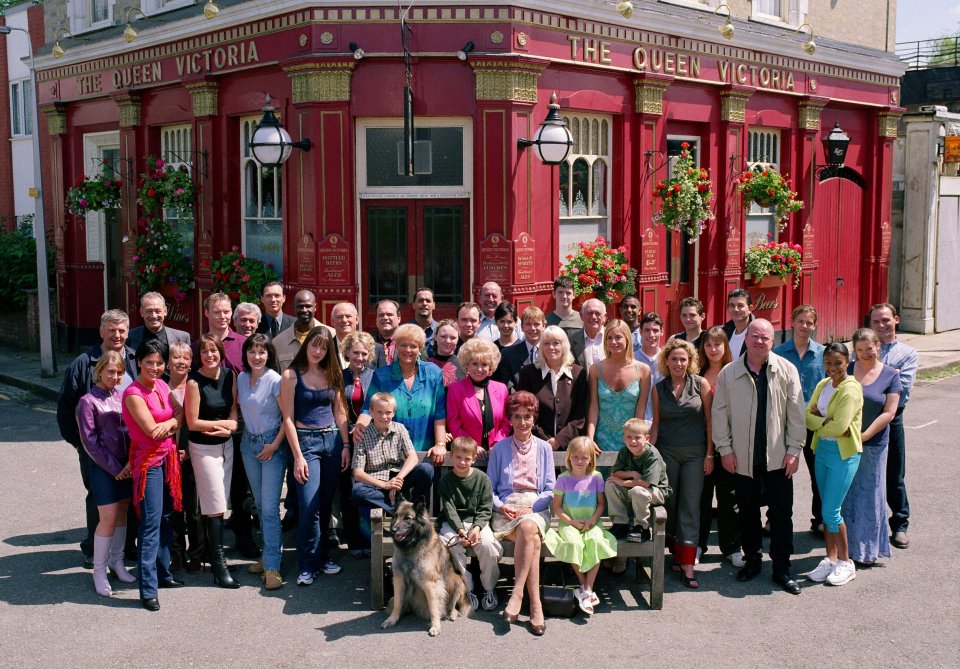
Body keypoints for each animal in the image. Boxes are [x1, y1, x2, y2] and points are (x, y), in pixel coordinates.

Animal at [382, 498, 472, 636]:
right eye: (396, 516)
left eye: (407, 518)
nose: (393, 530)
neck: (411, 548)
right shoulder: (399, 580)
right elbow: (397, 603)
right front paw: (392, 619)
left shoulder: (431, 584)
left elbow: (434, 608)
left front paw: (435, 626)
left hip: (457, 583)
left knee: (451, 606)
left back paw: (452, 614)